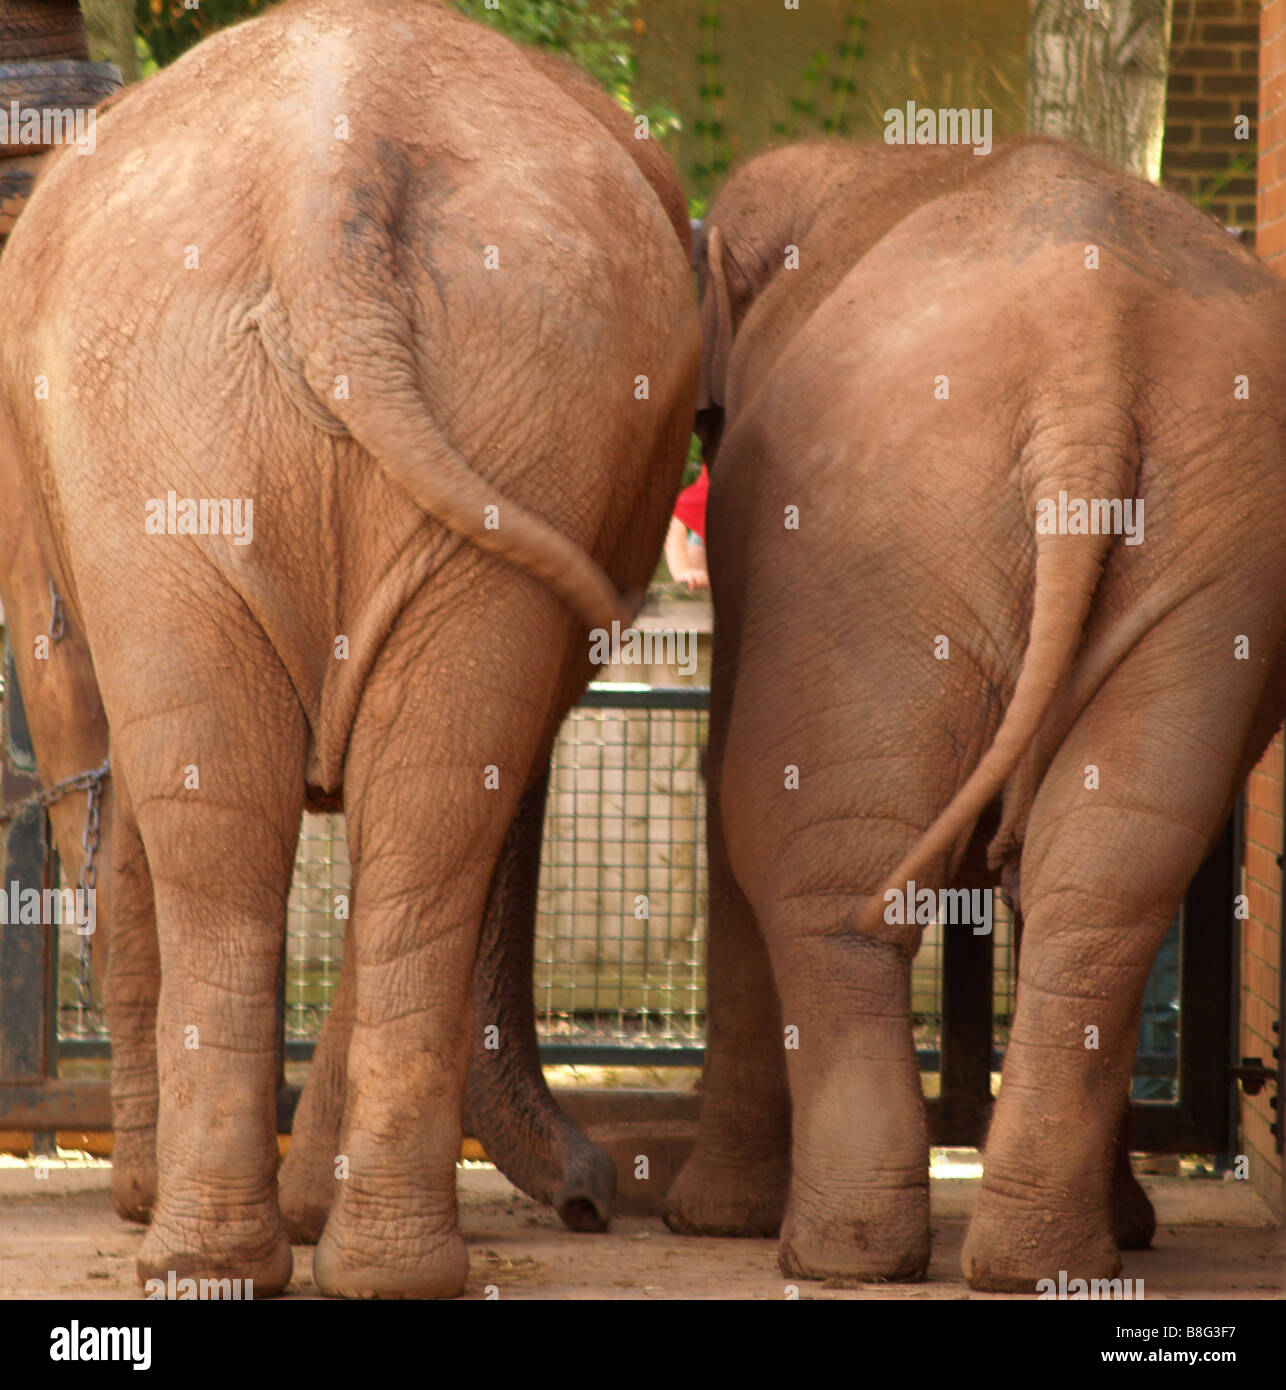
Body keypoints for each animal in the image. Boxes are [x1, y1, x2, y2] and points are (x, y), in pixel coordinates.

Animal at [0, 0, 703, 1295]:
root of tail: (327, 186)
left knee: (296, 808)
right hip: (280, 411)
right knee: (373, 802)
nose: (592, 1201)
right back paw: (291, 1255)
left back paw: (241, 1246)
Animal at [667, 135, 1284, 1284]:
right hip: (1219, 556)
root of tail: (1088, 353)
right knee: (1106, 871)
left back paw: (838, 1255)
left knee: (824, 869)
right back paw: (1042, 1259)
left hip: (873, 532)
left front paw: (711, 1222)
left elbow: (727, 799)